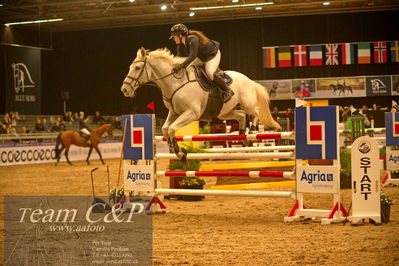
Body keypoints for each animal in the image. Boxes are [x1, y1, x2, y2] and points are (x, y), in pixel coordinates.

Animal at [120, 47, 280, 160]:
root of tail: (250, 80)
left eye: (137, 68)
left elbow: (171, 129)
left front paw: (180, 153)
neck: (174, 82)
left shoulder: (191, 113)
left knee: (256, 111)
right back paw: (242, 136)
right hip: (224, 112)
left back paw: (252, 130)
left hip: (247, 103)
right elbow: (165, 129)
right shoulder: (174, 112)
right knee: (241, 115)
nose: (125, 89)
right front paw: (176, 150)